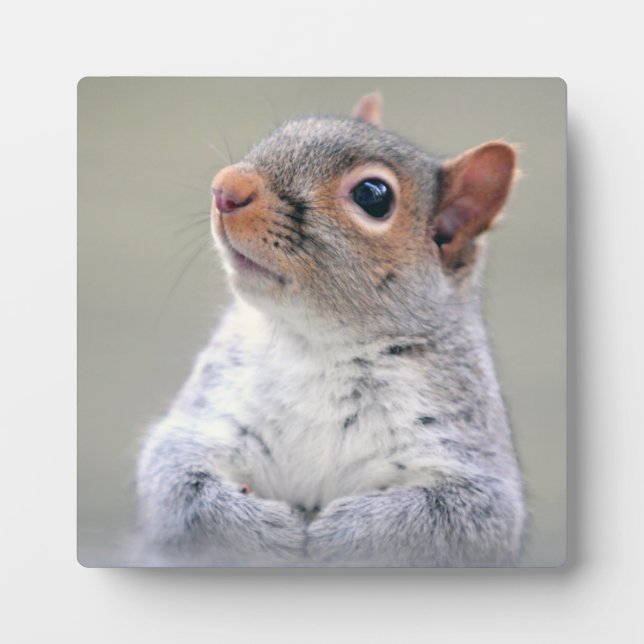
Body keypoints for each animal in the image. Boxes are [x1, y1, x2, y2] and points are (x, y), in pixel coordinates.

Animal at [135, 93, 527, 566]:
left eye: (373, 196)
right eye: (284, 131)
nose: (226, 188)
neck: (318, 345)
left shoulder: (467, 452)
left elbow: (457, 519)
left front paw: (346, 533)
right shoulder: (209, 415)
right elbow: (174, 484)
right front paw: (265, 530)